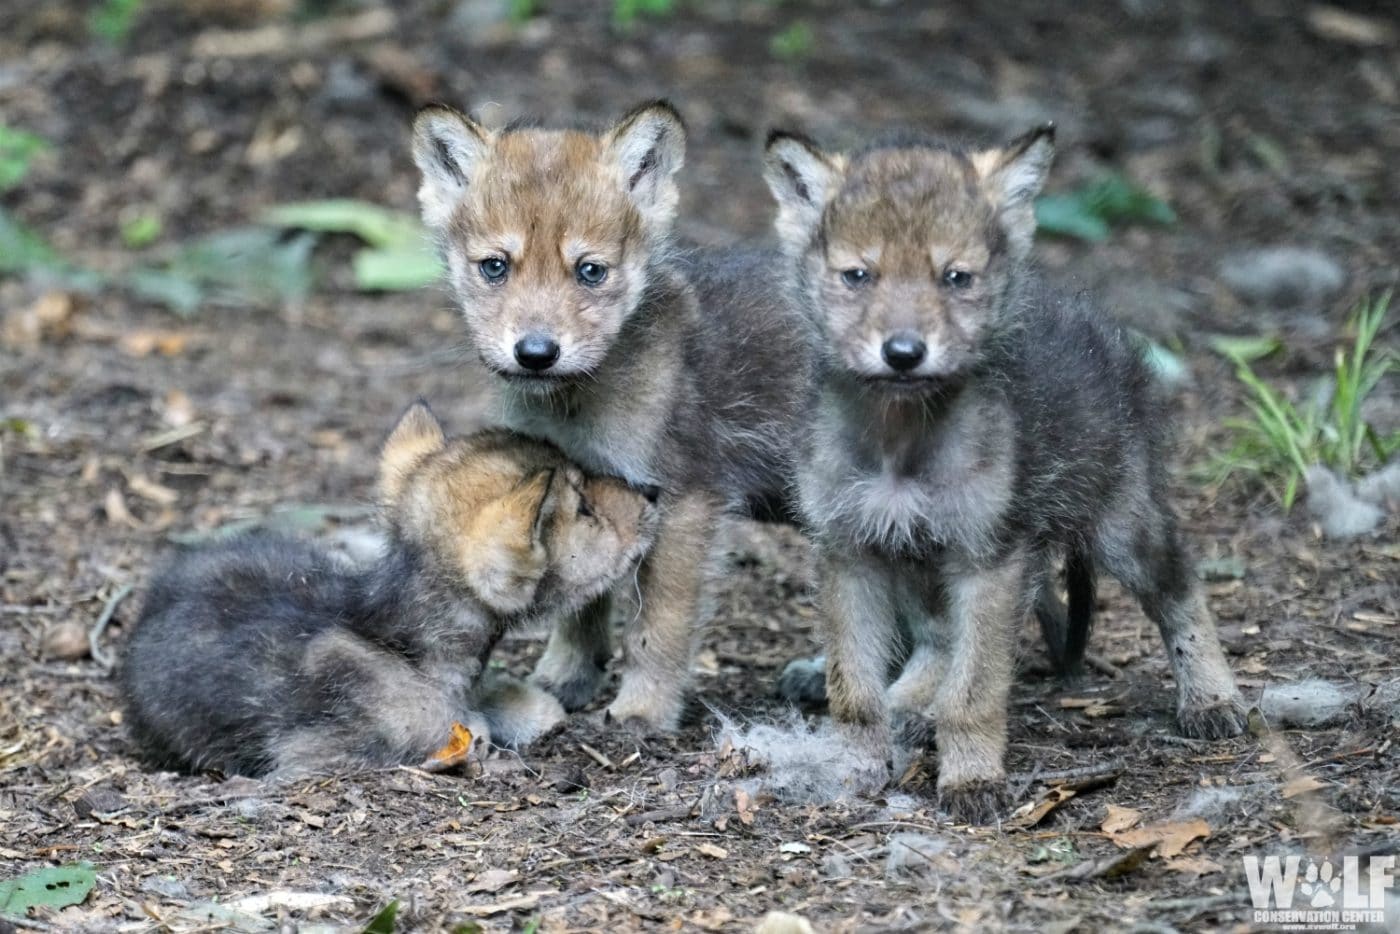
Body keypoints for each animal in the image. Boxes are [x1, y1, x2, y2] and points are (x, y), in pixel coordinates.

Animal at [410, 100, 812, 730]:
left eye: (590, 271)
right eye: (495, 267)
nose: (536, 352)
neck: (577, 406)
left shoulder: (687, 502)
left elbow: (658, 627)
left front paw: (643, 710)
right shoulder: (586, 484)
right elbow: (581, 599)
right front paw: (566, 680)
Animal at [762, 124, 1247, 822]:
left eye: (954, 277)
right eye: (858, 275)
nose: (903, 353)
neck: (901, 440)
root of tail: (1096, 322)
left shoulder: (988, 558)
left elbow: (974, 692)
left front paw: (970, 780)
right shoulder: (851, 549)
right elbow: (854, 690)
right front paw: (852, 769)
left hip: (1121, 526)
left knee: (1179, 586)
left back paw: (1211, 698)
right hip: (917, 554)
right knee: (936, 638)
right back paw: (909, 705)